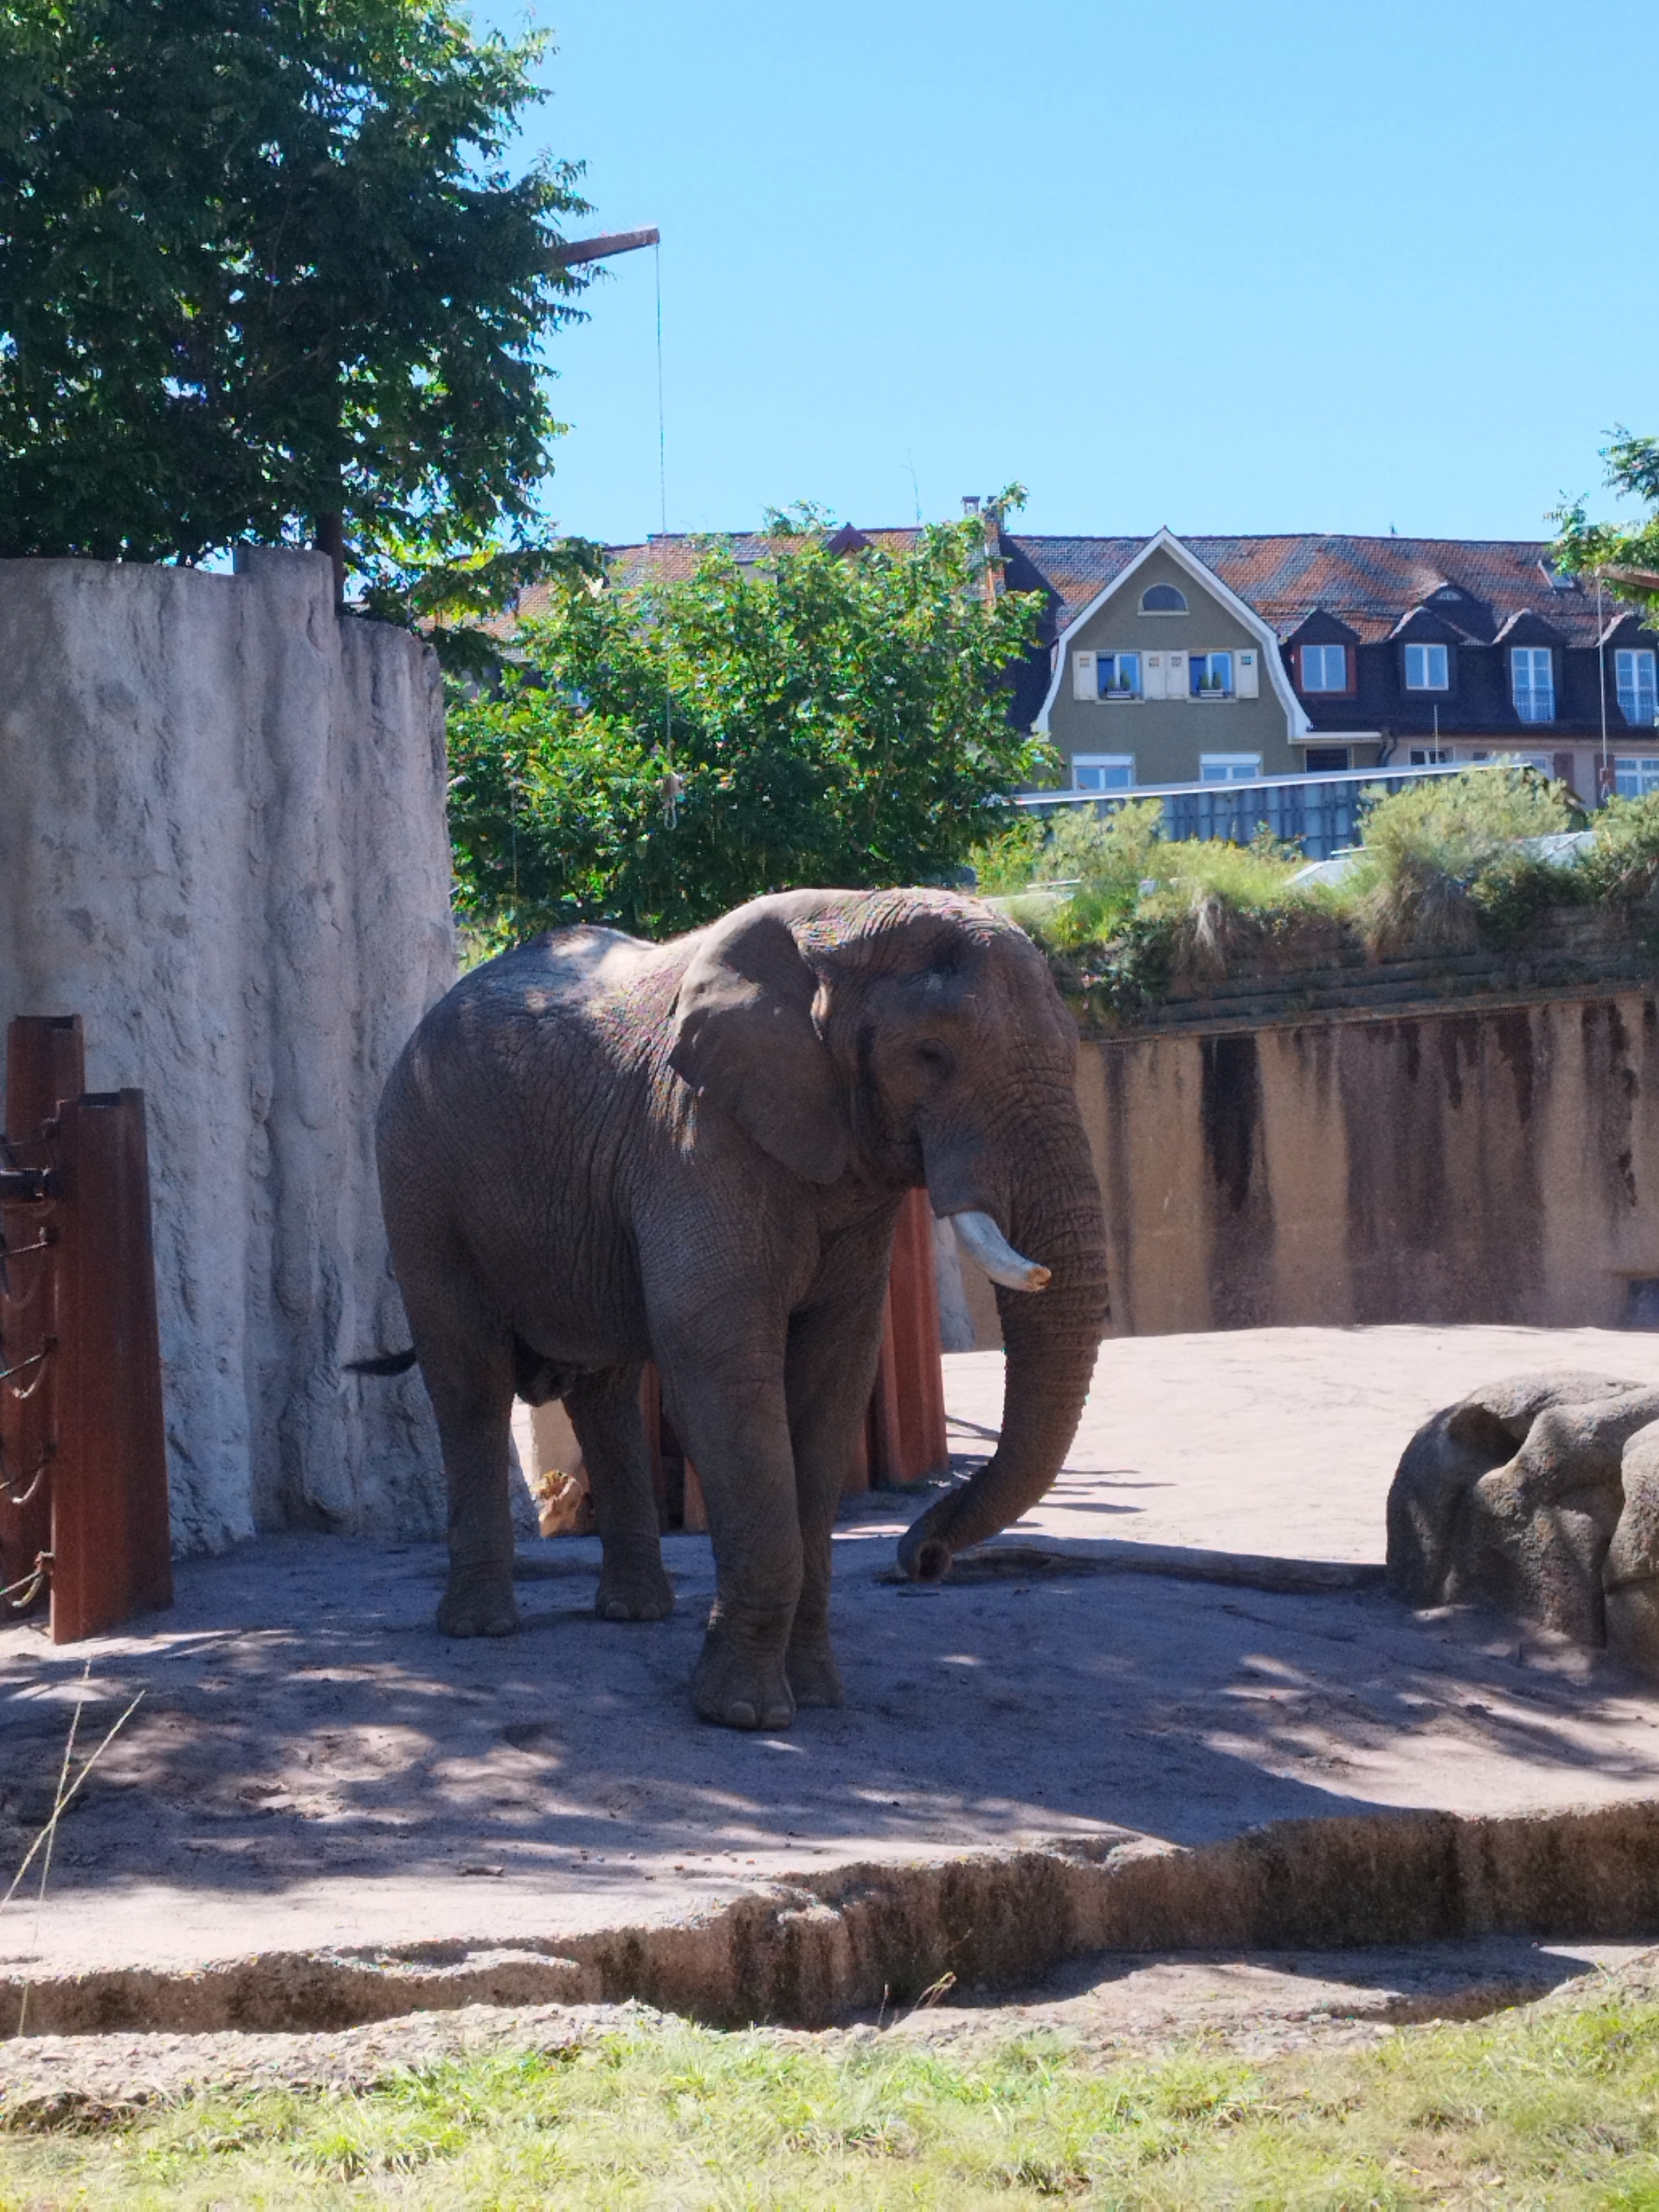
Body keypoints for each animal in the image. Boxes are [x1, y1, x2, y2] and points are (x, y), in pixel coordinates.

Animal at [369, 880, 1110, 1725]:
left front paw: (816, 1697)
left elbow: (831, 1383)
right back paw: (481, 1626)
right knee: (470, 1381)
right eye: (931, 1057)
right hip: (417, 1174)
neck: (847, 922)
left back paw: (636, 1612)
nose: (920, 1559)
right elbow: (723, 1376)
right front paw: (744, 1715)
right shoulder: (696, 1138)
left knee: (606, 1394)